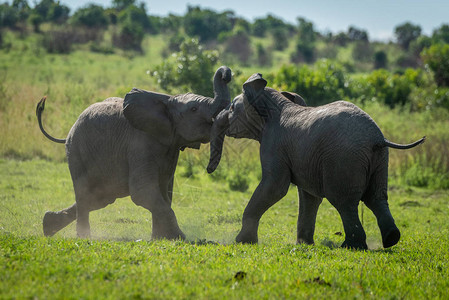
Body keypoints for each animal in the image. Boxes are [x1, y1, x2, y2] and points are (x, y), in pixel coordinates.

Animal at [37, 65, 233, 239]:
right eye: (193, 109)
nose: (227, 75)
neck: (167, 101)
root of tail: (68, 133)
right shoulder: (140, 144)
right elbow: (143, 191)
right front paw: (182, 239)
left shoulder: (170, 147)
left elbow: (164, 191)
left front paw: (161, 239)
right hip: (76, 151)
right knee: (86, 193)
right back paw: (83, 237)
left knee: (101, 197)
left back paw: (48, 225)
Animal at [206, 73, 424, 251]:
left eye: (232, 108)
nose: (209, 170)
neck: (274, 103)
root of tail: (377, 138)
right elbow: (309, 197)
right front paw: (304, 244)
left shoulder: (273, 144)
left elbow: (275, 187)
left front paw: (242, 242)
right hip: (379, 159)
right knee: (376, 197)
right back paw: (391, 239)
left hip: (343, 159)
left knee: (344, 201)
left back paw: (350, 246)